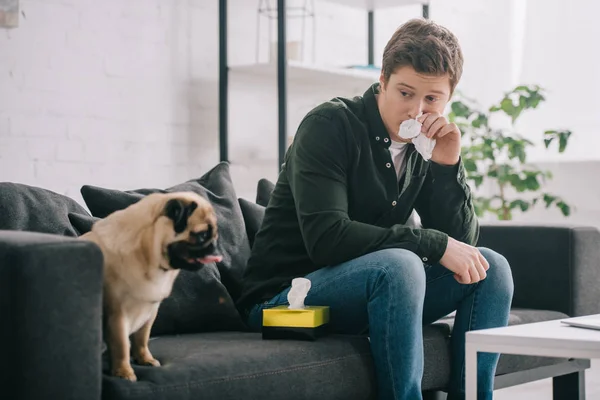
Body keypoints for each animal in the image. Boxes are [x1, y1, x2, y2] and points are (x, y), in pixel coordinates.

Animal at [78, 191, 221, 382]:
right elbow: (122, 347)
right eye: (202, 235)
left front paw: (145, 359)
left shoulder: (150, 311)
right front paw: (124, 372)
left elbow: (141, 339)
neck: (148, 259)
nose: (214, 244)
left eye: (214, 235)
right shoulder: (117, 316)